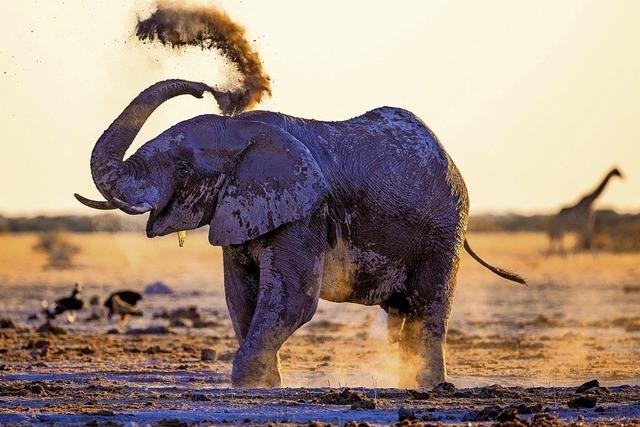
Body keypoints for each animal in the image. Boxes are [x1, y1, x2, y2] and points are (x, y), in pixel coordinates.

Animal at [76, 78, 524, 390]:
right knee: (401, 312)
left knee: (426, 306)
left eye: (184, 168)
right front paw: (265, 385)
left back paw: (429, 387)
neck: (244, 130)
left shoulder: (305, 211)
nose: (206, 90)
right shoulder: (242, 209)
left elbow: (292, 299)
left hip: (444, 228)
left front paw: (247, 383)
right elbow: (241, 296)